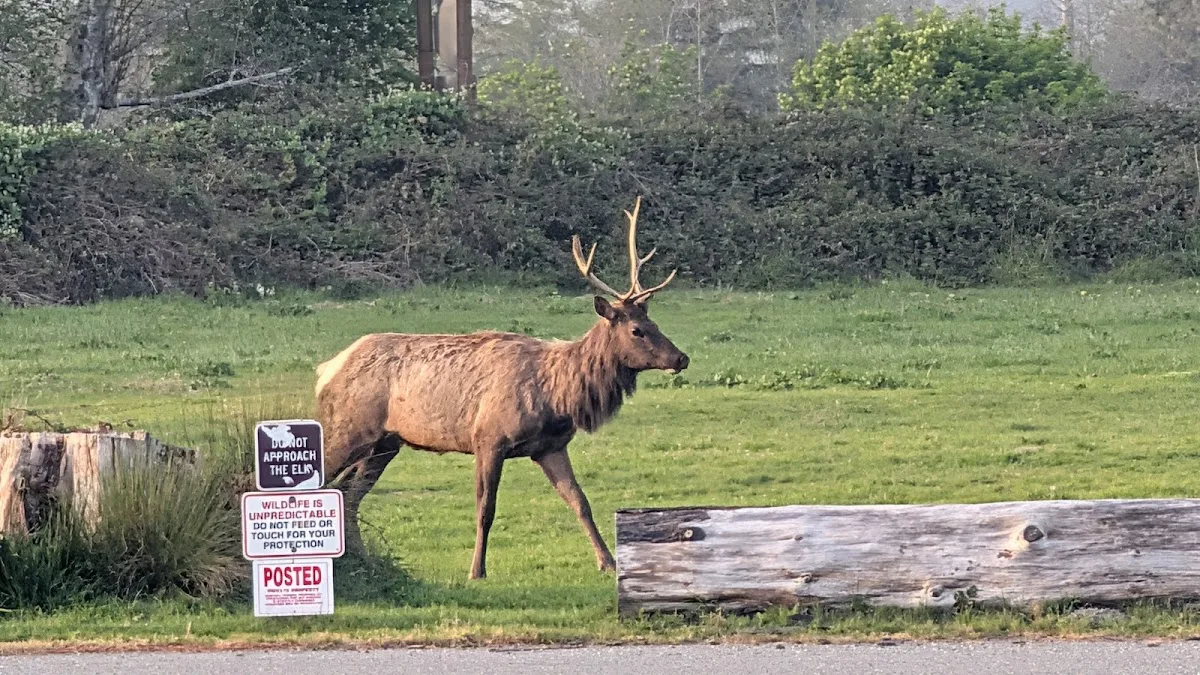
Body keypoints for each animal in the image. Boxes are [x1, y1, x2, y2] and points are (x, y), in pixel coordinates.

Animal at [314, 197, 689, 579]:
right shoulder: (488, 438)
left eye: (654, 322)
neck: (557, 397)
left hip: (385, 443)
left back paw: (363, 560)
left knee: (349, 494)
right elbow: (486, 509)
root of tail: (325, 370)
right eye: (637, 331)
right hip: (347, 429)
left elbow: (580, 502)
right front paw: (476, 570)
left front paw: (608, 563)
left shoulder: (551, 447)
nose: (681, 358)